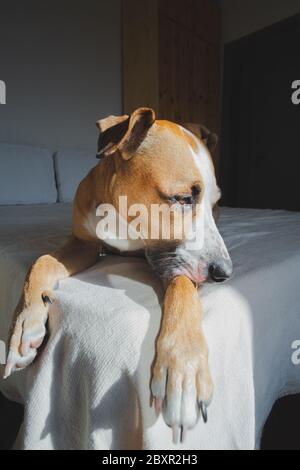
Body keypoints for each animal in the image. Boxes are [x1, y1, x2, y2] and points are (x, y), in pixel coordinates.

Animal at [5, 107, 234, 444]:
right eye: (182, 199)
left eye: (215, 201)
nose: (225, 273)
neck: (123, 218)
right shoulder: (84, 245)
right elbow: (42, 261)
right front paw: (25, 325)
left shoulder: (171, 260)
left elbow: (182, 287)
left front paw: (183, 368)